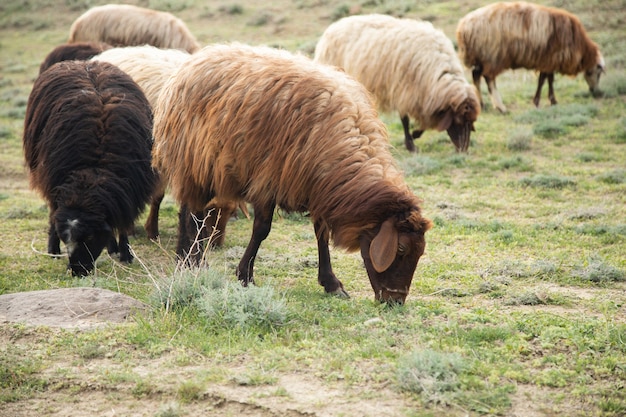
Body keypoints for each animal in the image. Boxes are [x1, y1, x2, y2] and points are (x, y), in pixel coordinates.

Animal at [24, 60, 156, 274]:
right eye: (66, 238)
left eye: (90, 237)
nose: (77, 271)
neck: (93, 171)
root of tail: (83, 62)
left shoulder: (126, 192)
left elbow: (123, 224)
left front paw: (125, 254)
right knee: (52, 210)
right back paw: (53, 251)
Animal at [154, 42, 432, 302]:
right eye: (401, 249)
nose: (395, 300)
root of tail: (198, 58)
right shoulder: (268, 180)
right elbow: (262, 230)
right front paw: (245, 276)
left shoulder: (316, 186)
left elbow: (321, 234)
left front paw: (331, 282)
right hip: (195, 163)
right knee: (194, 214)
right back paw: (195, 261)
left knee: (187, 210)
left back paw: (184, 258)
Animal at [312, 13, 478, 154]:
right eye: (459, 120)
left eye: (470, 123)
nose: (463, 150)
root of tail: (334, 26)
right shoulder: (404, 91)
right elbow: (405, 120)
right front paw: (411, 144)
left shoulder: (420, 96)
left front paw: (415, 134)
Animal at [454, 1, 604, 112]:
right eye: (593, 72)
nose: (594, 91)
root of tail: (463, 27)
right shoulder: (549, 60)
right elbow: (544, 80)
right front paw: (543, 101)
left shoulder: (548, 61)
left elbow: (547, 79)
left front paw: (548, 101)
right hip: (493, 56)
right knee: (488, 78)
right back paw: (501, 107)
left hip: (482, 57)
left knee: (476, 75)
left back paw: (482, 104)